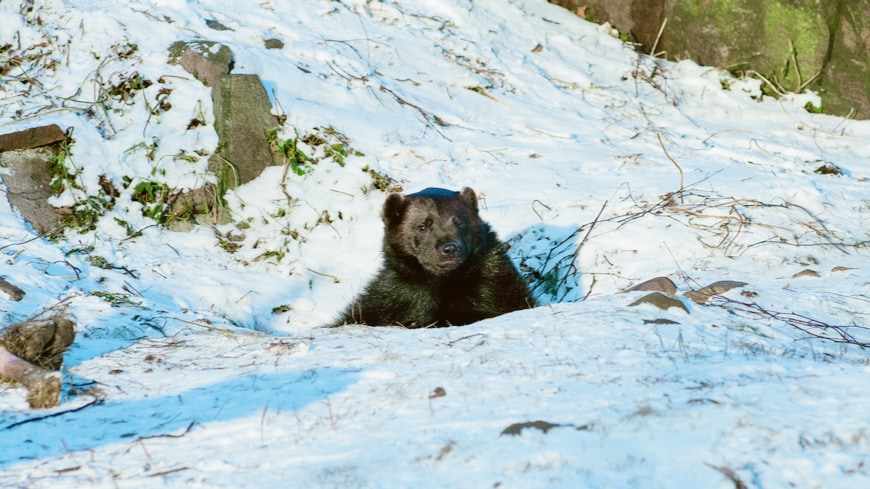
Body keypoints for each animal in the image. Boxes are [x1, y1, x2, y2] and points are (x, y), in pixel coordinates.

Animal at [336, 187, 536, 328]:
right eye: (423, 226)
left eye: (459, 223)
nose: (450, 248)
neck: (441, 284)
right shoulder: (391, 297)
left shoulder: (495, 285)